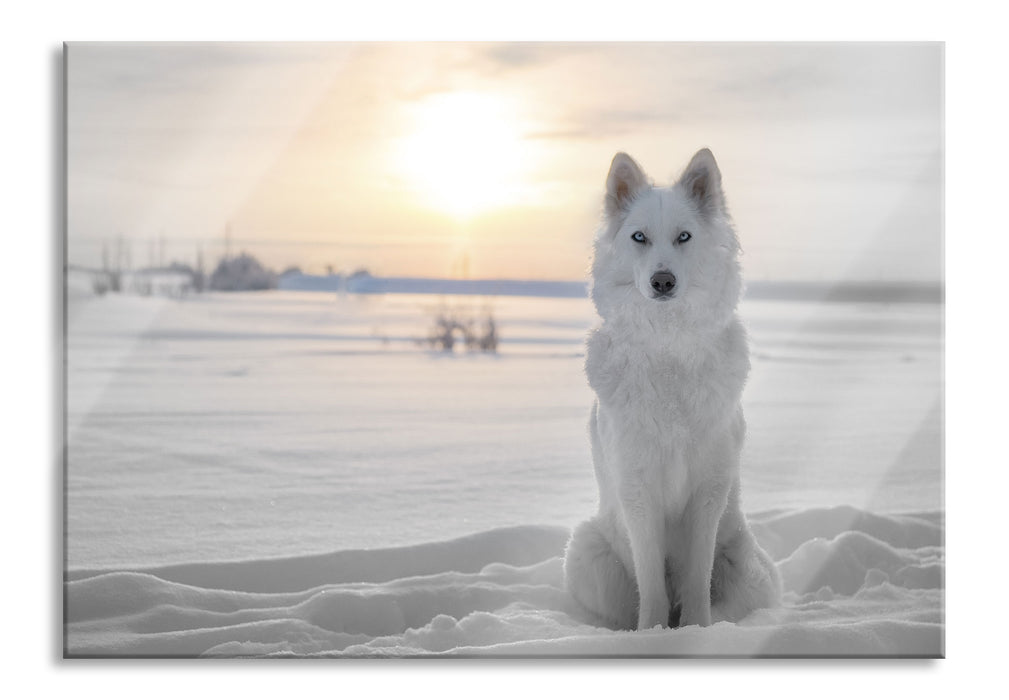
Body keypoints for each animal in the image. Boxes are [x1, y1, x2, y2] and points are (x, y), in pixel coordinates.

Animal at [563, 148, 782, 631]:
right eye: (639, 237)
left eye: (684, 237)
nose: (663, 281)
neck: (668, 349)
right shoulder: (637, 489)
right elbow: (651, 581)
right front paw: (653, 634)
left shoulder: (708, 491)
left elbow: (698, 577)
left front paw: (696, 630)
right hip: (587, 552)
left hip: (749, 570)